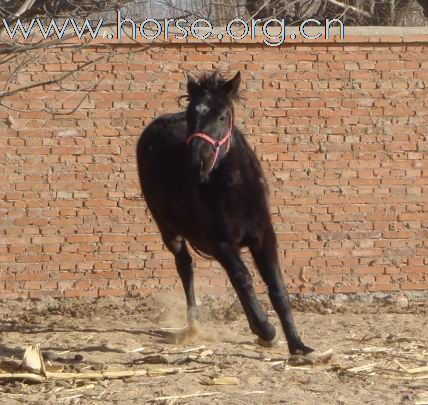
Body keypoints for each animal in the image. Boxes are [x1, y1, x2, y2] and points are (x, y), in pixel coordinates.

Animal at [136, 71, 314, 356]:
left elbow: (277, 288)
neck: (234, 188)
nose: (196, 165)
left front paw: (298, 345)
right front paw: (267, 331)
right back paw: (195, 323)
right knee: (185, 266)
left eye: (222, 116)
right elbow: (243, 279)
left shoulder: (264, 237)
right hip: (168, 229)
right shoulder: (220, 242)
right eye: (191, 115)